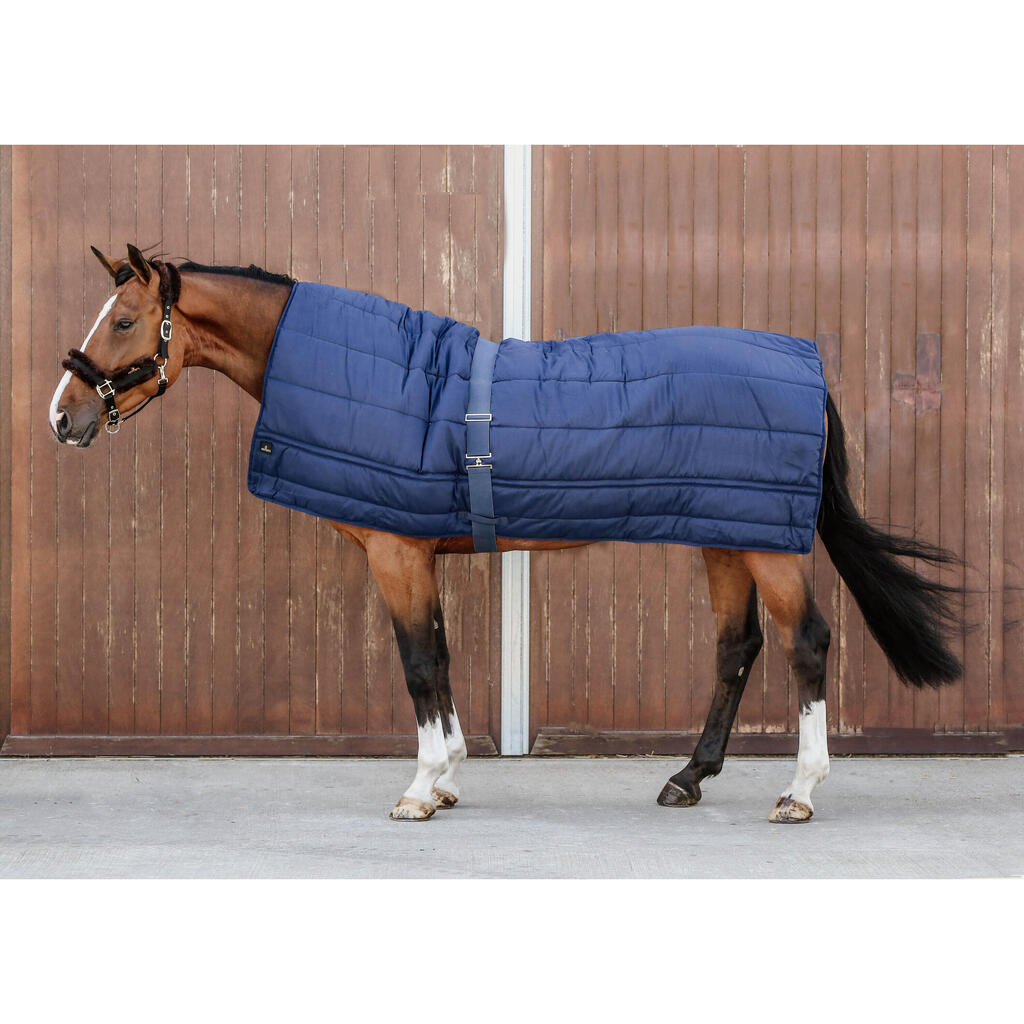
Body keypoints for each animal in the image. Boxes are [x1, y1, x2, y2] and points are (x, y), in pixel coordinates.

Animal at [48, 244, 964, 823]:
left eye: (123, 322)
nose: (64, 417)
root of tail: (803, 362)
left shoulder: (397, 553)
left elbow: (420, 662)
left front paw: (420, 789)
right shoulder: (418, 551)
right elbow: (442, 658)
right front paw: (449, 776)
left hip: (768, 546)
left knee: (807, 643)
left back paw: (800, 793)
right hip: (726, 535)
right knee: (737, 648)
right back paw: (687, 778)